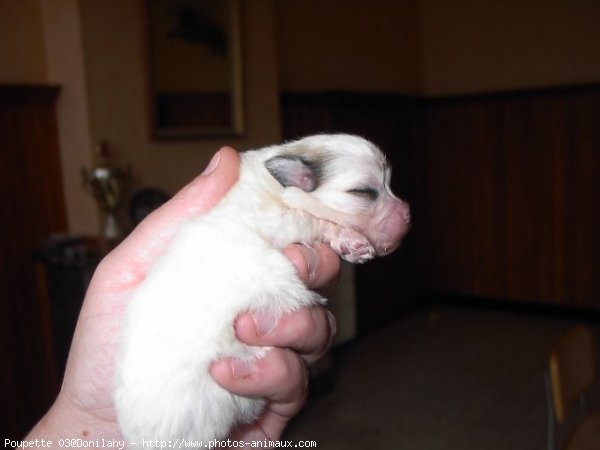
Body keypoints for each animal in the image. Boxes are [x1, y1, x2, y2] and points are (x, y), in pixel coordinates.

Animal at [115, 133, 410, 442]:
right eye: (363, 192)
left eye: (389, 182)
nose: (408, 215)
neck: (277, 186)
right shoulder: (284, 220)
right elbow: (315, 222)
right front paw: (350, 241)